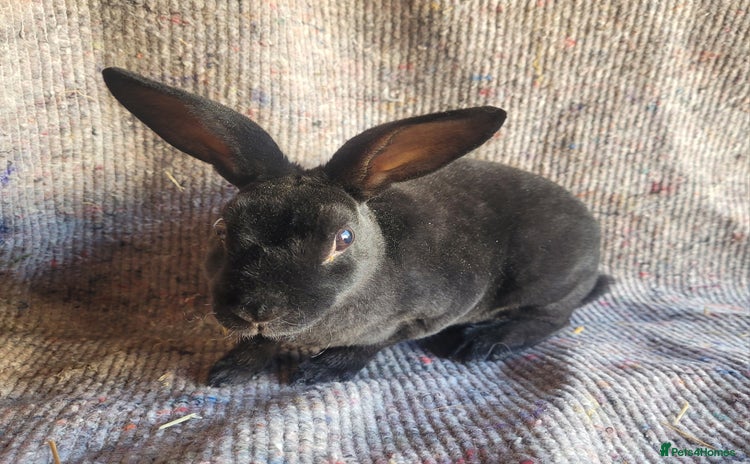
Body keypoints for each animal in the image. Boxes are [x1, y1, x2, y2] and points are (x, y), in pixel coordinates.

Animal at [102, 67, 605, 386]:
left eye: (342, 240)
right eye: (223, 227)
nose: (256, 310)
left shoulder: (426, 313)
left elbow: (373, 344)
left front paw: (321, 371)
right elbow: (263, 346)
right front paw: (231, 369)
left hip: (543, 279)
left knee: (554, 317)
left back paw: (483, 342)